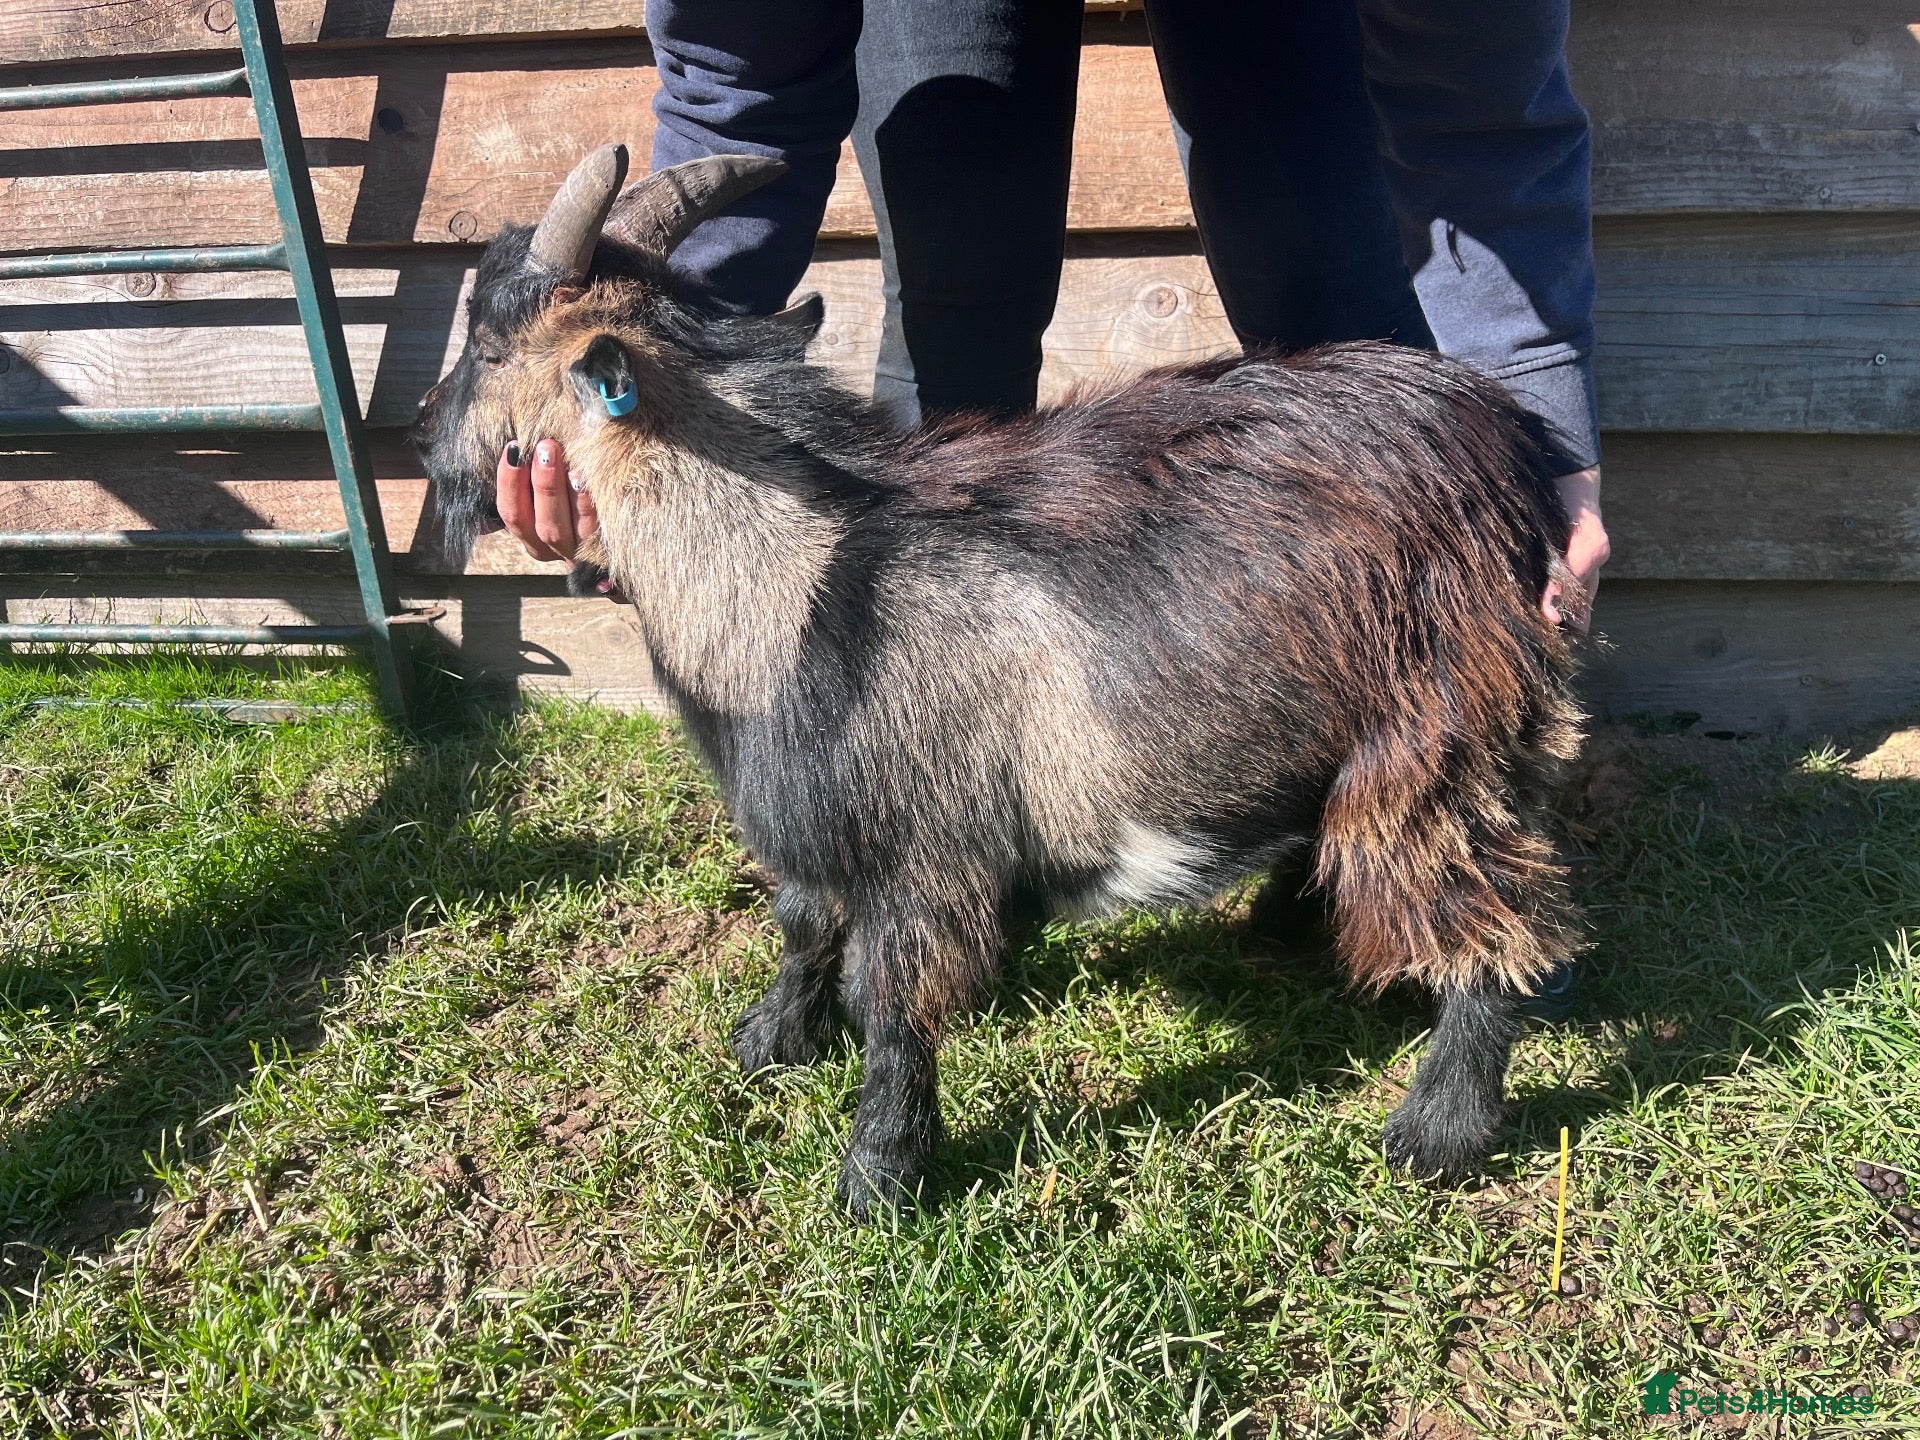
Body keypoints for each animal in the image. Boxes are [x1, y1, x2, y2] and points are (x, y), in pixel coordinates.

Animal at [413, 145, 1585, 1217]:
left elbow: (888, 1005)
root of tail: (1507, 439)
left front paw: (879, 1180)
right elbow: (802, 922)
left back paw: (1437, 1133)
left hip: (1437, 729)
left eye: (488, 344)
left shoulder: (922, 849)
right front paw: (772, 1040)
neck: (800, 578)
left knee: (1496, 922)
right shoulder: (823, 813)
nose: (421, 435)